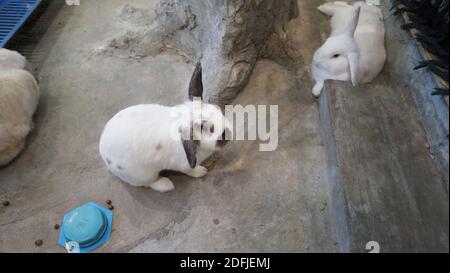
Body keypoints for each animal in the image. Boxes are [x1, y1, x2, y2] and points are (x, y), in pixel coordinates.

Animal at [99, 63, 232, 192]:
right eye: (204, 127)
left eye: (217, 109)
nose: (228, 134)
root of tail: (103, 153)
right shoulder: (184, 165)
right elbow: (191, 171)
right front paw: (202, 171)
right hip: (143, 175)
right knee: (147, 183)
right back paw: (166, 185)